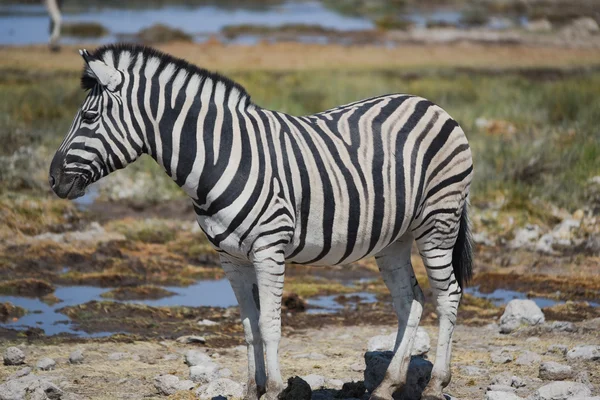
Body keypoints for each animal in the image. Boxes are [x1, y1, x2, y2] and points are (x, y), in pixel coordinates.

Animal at [49, 44, 474, 400]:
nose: (52, 179)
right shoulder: (230, 257)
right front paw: (251, 390)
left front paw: (272, 389)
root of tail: (430, 104)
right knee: (410, 301)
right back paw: (387, 385)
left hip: (438, 222)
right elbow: (249, 328)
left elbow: (270, 326)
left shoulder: (269, 249)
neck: (219, 156)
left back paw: (436, 383)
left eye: (88, 117)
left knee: (448, 295)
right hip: (393, 238)